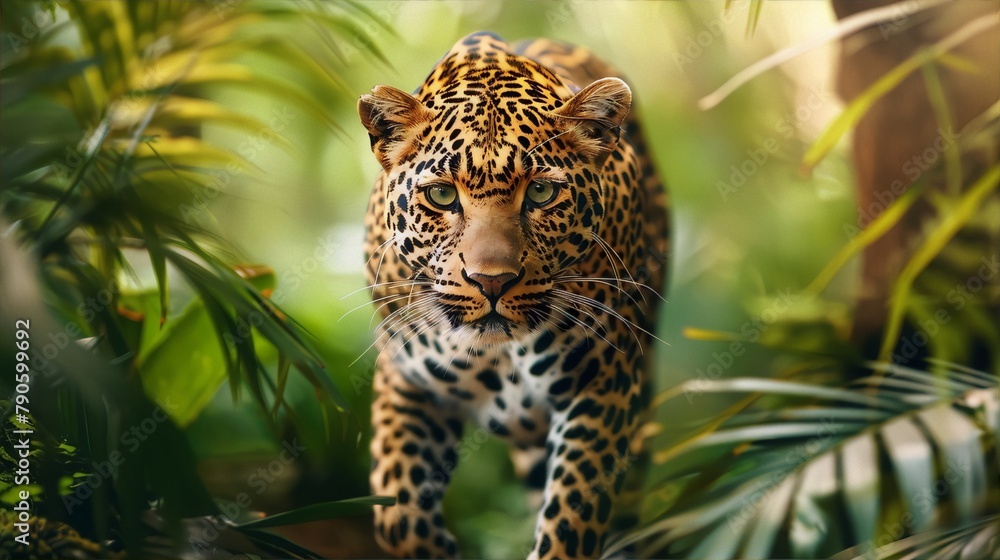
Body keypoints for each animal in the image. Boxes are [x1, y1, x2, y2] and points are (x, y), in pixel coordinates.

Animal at [358, 31, 669, 559]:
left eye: (541, 193)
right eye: (442, 195)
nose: (492, 281)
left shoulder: (602, 385)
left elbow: (572, 521)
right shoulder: (406, 379)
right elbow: (398, 513)